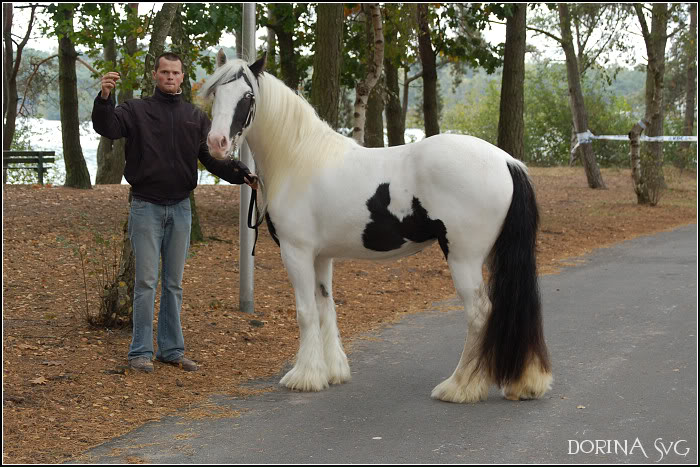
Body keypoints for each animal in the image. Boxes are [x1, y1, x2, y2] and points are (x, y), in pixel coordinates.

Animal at [201, 50, 552, 402]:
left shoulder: (296, 251)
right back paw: (523, 383)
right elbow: (325, 306)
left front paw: (304, 376)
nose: (216, 143)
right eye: (216, 92)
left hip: (463, 257)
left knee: (480, 313)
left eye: (247, 97)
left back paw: (460, 386)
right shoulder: (321, 256)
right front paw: (332, 371)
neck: (298, 159)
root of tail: (506, 161)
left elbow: (305, 312)